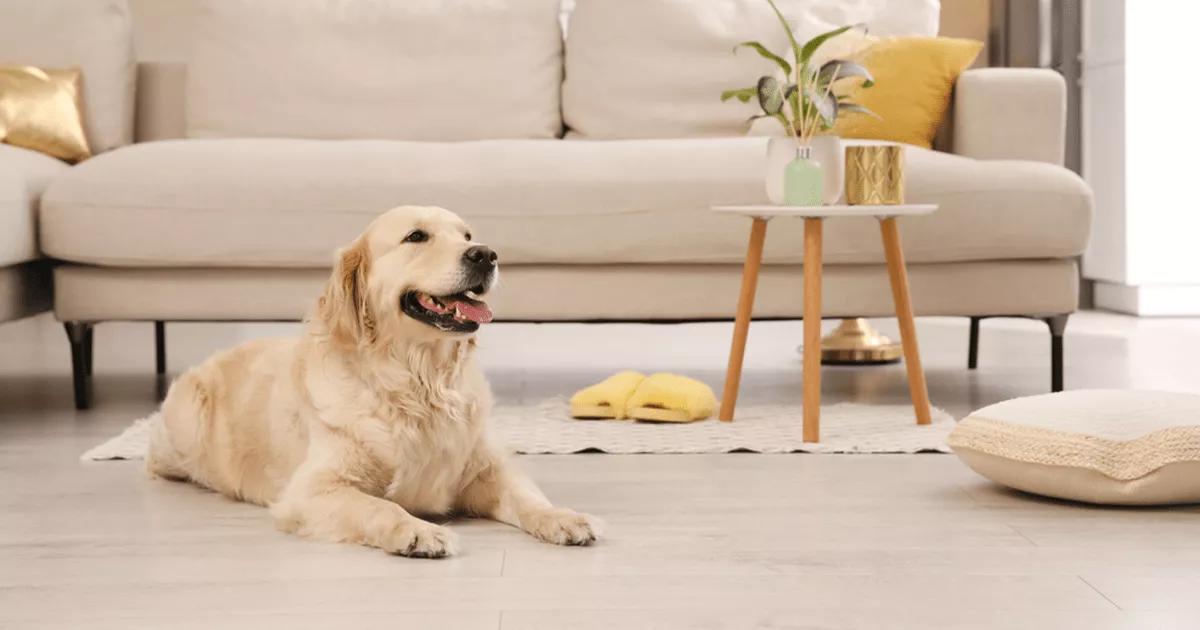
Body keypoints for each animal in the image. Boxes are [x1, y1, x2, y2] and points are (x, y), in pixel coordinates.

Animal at [147, 205, 597, 554]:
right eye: (416, 236)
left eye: (467, 234)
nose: (486, 254)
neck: (418, 384)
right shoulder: (312, 490)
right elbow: (380, 506)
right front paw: (418, 532)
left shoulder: (487, 470)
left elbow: (527, 496)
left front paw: (563, 517)